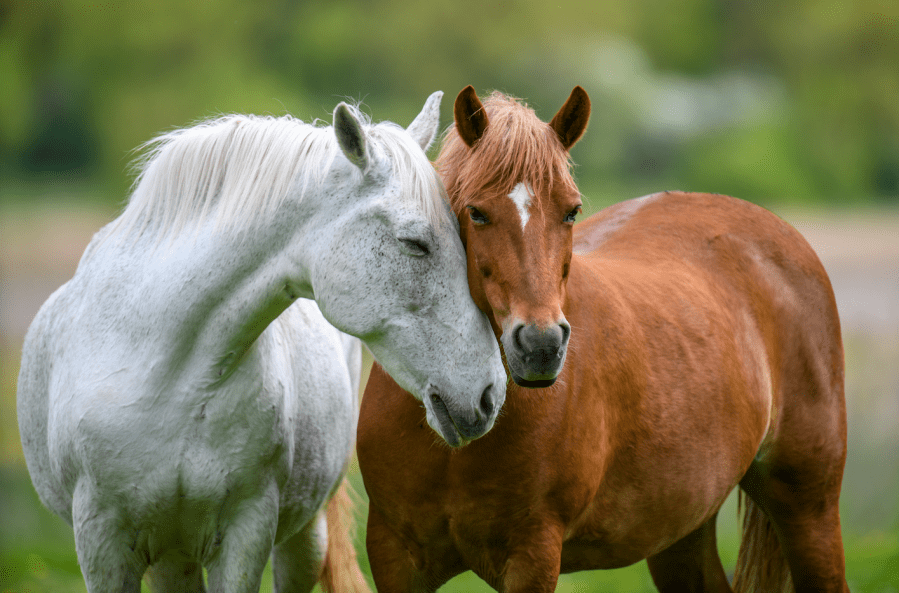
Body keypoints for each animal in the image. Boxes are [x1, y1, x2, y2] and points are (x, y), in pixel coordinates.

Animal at [15, 90, 506, 588]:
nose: (491, 394)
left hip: (301, 539)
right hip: (173, 556)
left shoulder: (245, 532)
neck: (162, 370)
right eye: (415, 243)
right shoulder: (102, 543)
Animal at [356, 86, 848, 592]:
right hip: (681, 533)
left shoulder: (532, 555)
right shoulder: (395, 556)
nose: (540, 346)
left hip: (808, 508)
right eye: (476, 212)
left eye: (571, 211)